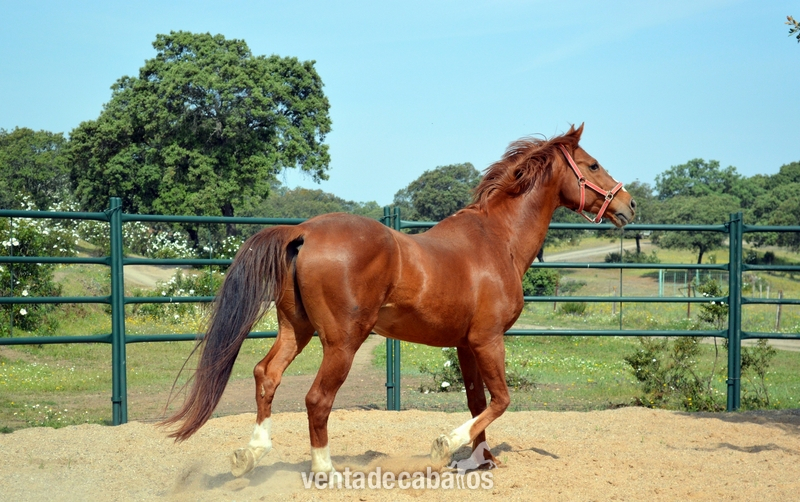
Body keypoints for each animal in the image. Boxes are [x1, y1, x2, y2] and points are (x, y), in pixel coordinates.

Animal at [160, 123, 636, 477]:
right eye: (592, 164)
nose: (629, 205)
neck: (497, 241)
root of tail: (304, 231)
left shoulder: (465, 345)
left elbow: (477, 402)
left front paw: (480, 461)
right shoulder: (488, 340)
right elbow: (500, 400)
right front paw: (445, 446)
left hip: (297, 329)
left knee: (266, 375)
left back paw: (251, 454)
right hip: (342, 342)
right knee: (317, 399)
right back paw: (324, 470)